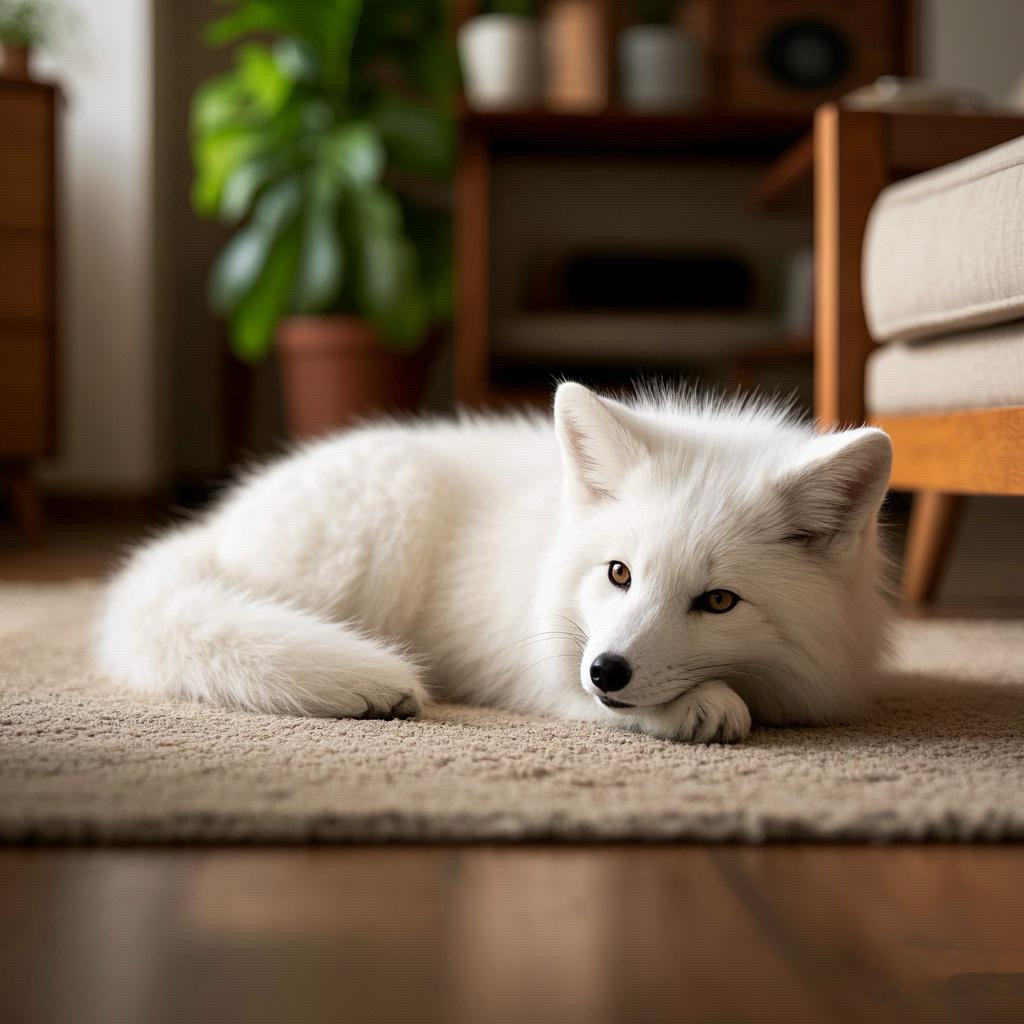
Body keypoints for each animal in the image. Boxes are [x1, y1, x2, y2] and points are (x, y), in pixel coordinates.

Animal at [96, 382, 893, 744]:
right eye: (619, 573)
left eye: (719, 601)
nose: (607, 670)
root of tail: (213, 528)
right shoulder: (540, 666)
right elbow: (593, 702)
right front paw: (702, 705)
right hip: (385, 524)